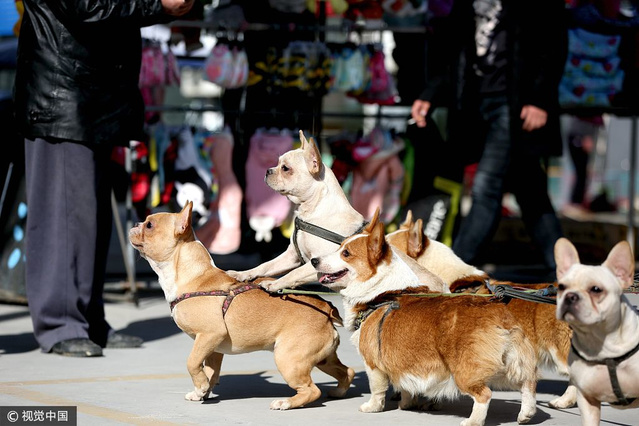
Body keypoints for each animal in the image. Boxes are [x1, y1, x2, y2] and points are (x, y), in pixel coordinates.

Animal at [314, 211, 540, 424]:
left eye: (346, 253)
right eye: (339, 247)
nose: (314, 260)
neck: (380, 291)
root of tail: (500, 319)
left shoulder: (373, 364)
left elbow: (377, 388)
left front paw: (372, 407)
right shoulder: (403, 364)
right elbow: (406, 387)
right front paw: (407, 404)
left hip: (465, 372)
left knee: (484, 395)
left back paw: (472, 421)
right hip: (515, 364)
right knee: (528, 384)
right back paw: (526, 415)